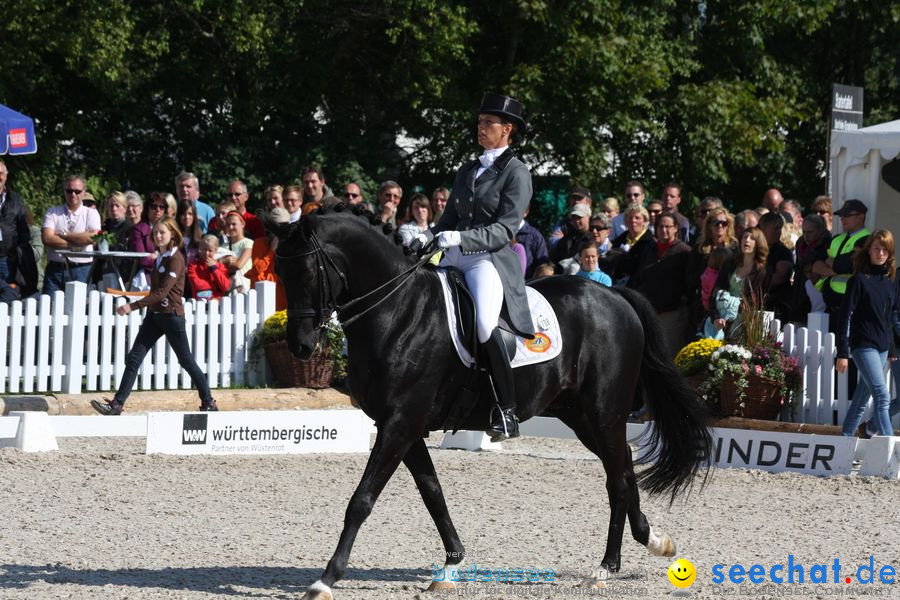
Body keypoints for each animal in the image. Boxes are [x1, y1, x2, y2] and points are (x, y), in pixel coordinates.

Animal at [274, 206, 712, 600]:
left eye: (308, 272)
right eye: (281, 274)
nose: (300, 347)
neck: (399, 312)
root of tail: (614, 295)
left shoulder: (401, 423)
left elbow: (361, 500)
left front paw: (325, 580)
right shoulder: (401, 426)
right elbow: (432, 493)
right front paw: (451, 566)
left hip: (604, 412)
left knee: (618, 476)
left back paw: (604, 568)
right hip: (582, 416)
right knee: (621, 468)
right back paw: (652, 541)